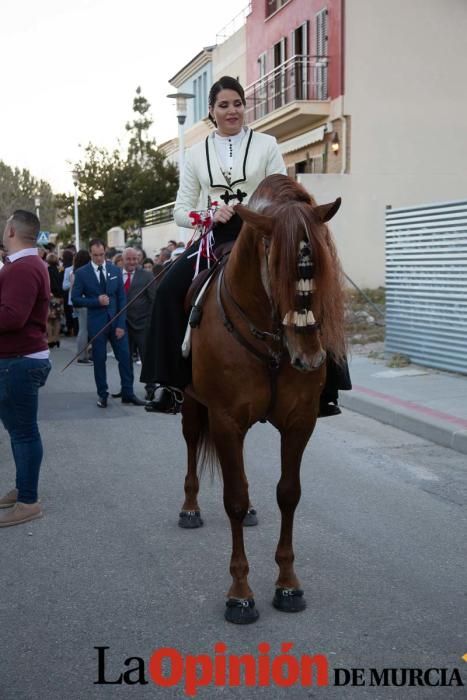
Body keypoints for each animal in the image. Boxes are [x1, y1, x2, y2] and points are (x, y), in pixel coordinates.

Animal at [178, 175, 344, 624]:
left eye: (320, 263)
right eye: (277, 265)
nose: (309, 356)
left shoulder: (300, 421)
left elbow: (288, 493)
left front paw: (287, 584)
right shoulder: (225, 420)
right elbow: (233, 499)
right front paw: (240, 593)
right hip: (192, 405)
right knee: (191, 443)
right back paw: (189, 508)